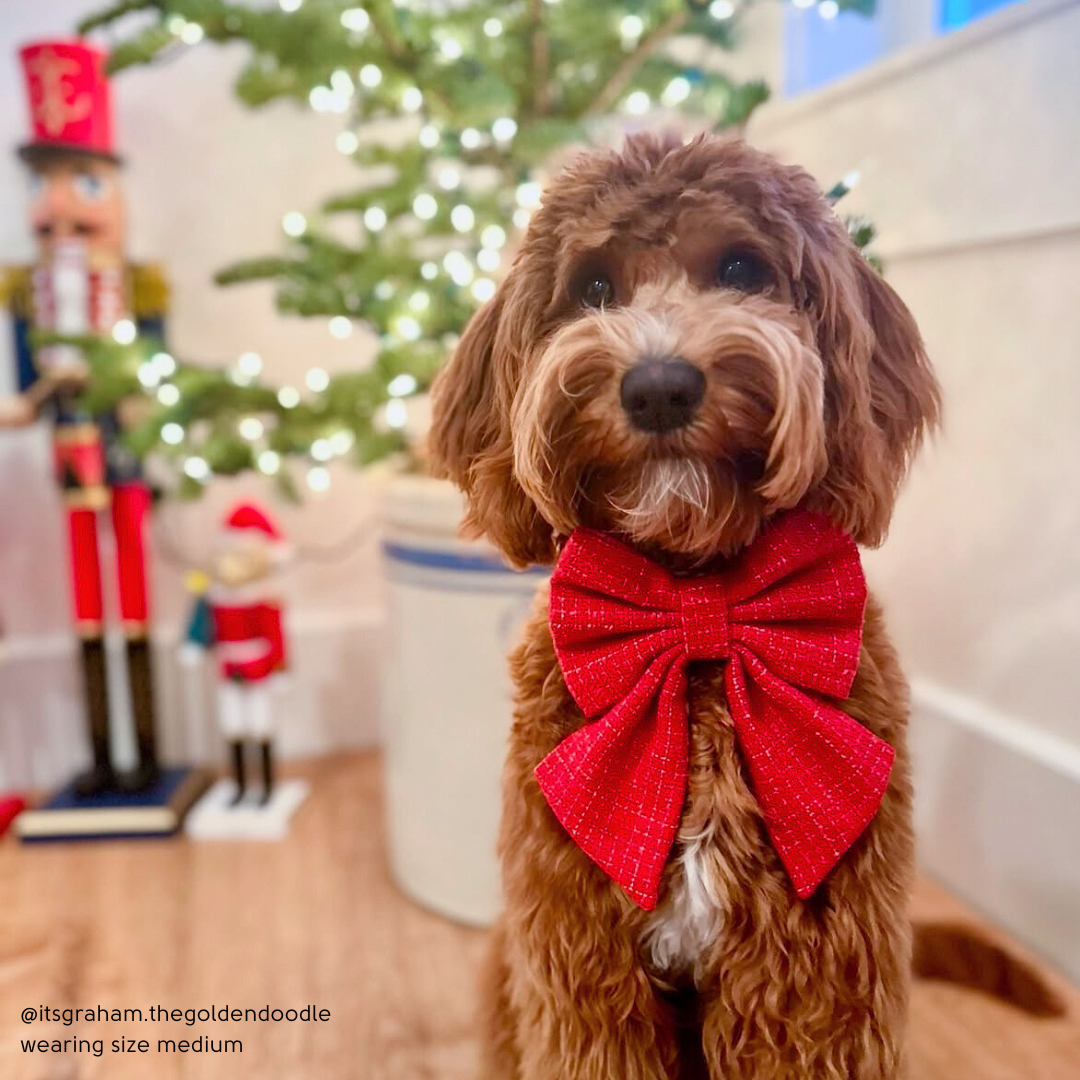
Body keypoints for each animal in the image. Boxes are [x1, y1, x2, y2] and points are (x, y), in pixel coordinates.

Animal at [432, 135, 946, 1080]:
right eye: (594, 286)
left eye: (741, 268)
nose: (660, 387)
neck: (697, 613)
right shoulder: (579, 965)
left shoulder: (815, 978)